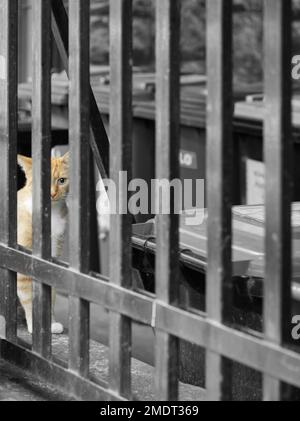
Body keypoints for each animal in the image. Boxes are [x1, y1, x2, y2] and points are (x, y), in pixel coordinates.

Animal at [17, 153, 69, 334]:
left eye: (61, 180)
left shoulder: (51, 260)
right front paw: (35, 324)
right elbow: (28, 298)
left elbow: (50, 296)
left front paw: (51, 323)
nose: (52, 194)